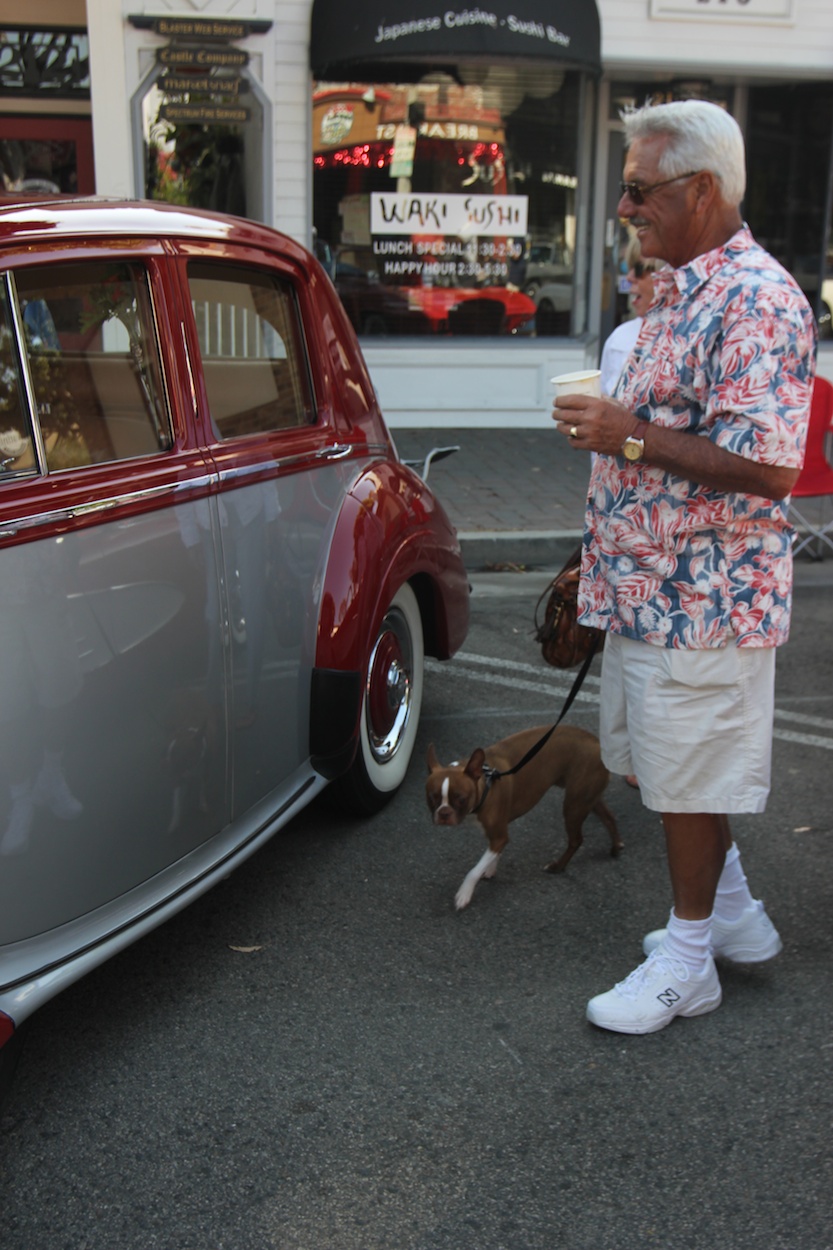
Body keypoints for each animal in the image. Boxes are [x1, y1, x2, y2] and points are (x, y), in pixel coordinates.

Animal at [425, 725, 620, 910]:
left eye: (461, 798)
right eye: (432, 798)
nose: (443, 813)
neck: (485, 783)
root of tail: (597, 743)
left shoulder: (499, 835)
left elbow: (474, 870)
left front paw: (464, 894)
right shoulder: (497, 835)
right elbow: (493, 854)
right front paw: (490, 868)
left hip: (574, 805)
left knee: (576, 840)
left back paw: (557, 866)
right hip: (588, 798)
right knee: (609, 818)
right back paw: (616, 847)